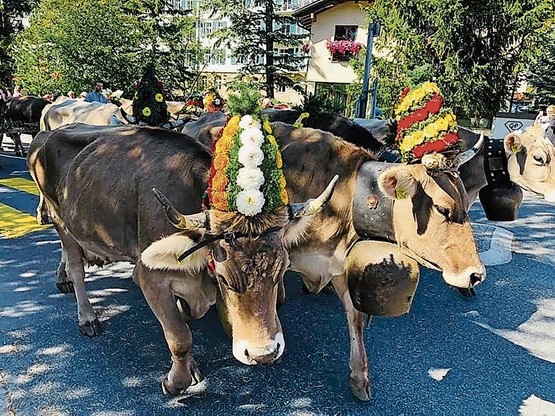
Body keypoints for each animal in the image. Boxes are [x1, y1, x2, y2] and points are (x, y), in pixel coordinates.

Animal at [28, 122, 336, 394]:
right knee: (76, 266)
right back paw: (86, 316)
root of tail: (48, 134)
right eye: (224, 277)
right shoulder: (149, 277)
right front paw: (175, 382)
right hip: (60, 220)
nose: (264, 353)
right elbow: (179, 336)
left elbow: (186, 318)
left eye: (282, 270)